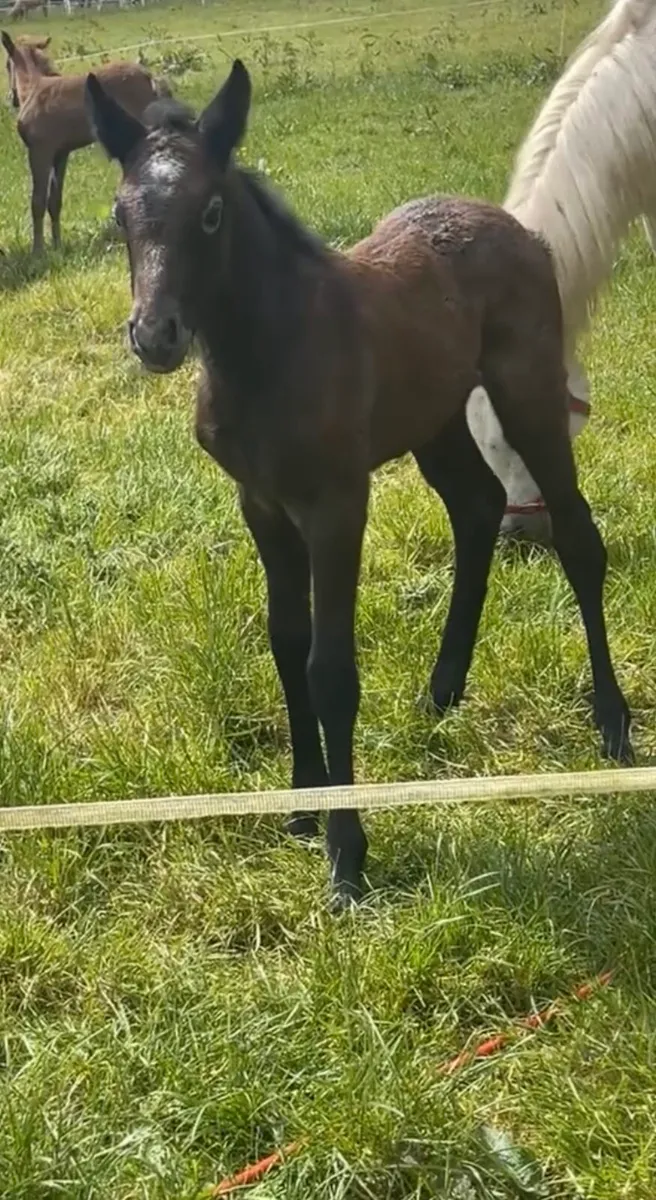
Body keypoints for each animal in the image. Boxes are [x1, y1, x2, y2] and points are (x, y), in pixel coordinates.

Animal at [1, 30, 171, 254]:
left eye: (6, 64)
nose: (12, 98)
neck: (34, 90)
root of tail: (149, 77)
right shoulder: (61, 154)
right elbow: (54, 201)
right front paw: (57, 246)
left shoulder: (40, 152)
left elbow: (37, 201)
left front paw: (38, 252)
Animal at [85, 61, 634, 906]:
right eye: (120, 215)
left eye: (210, 213)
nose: (155, 335)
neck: (269, 352)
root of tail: (519, 229)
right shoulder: (262, 505)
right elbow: (285, 642)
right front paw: (301, 804)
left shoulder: (337, 504)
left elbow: (330, 667)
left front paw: (347, 857)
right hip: (436, 420)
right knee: (477, 507)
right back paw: (441, 689)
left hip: (527, 394)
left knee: (576, 534)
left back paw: (612, 722)